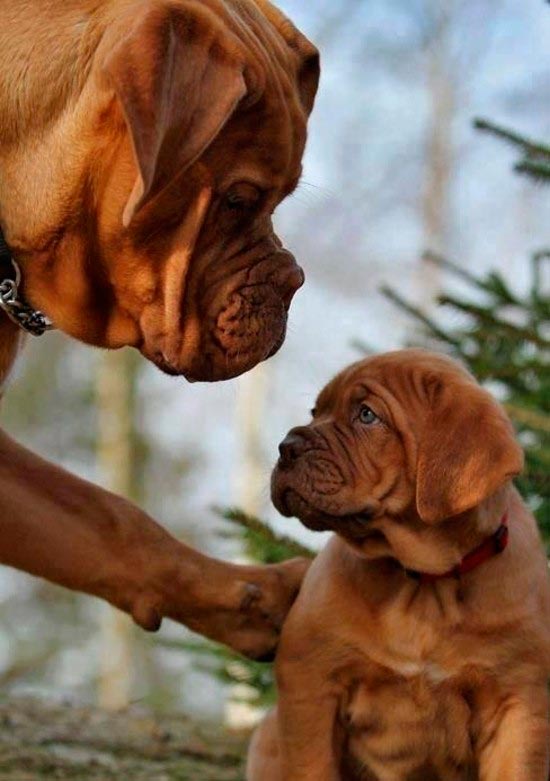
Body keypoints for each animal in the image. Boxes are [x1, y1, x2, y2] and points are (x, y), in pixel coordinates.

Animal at [250, 350, 550, 776]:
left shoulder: (517, 706)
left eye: (367, 415)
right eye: (316, 412)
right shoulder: (310, 680)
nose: (286, 446)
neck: (426, 582)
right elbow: (312, 768)